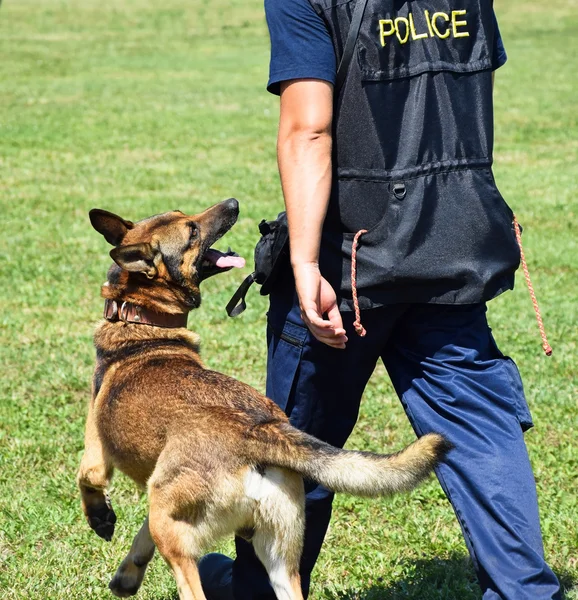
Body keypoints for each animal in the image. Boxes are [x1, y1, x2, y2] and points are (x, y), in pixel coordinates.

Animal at [76, 200, 452, 600]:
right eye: (191, 229)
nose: (232, 204)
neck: (140, 324)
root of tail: (257, 431)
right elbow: (141, 533)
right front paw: (127, 574)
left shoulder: (99, 454)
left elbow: (88, 478)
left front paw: (100, 519)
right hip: (278, 555)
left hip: (175, 533)